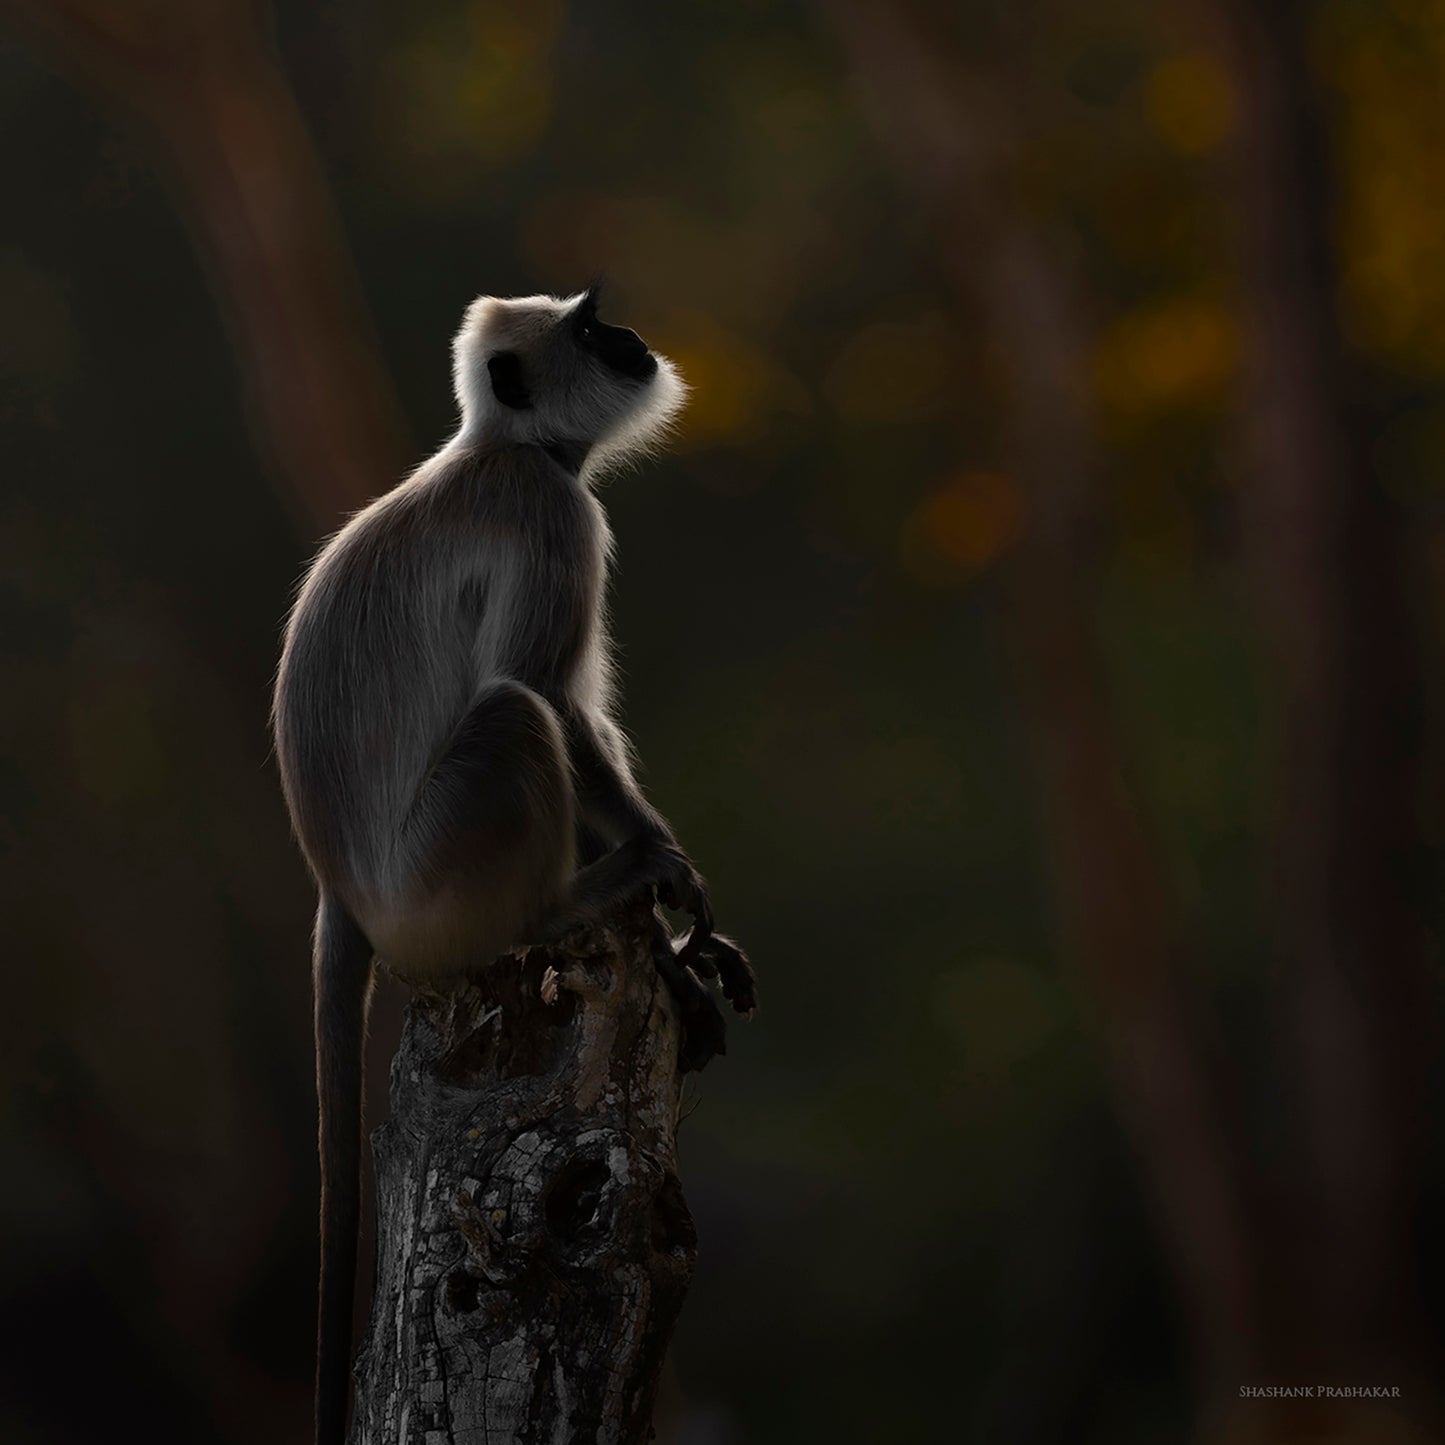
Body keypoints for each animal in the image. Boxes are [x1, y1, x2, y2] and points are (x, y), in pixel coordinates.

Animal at [271, 287, 751, 1445]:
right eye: (587, 328)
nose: (633, 342)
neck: (508, 449)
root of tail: (338, 889)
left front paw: (680, 953)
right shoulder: (552, 514)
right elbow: (549, 692)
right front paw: (663, 883)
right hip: (438, 876)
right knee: (517, 711)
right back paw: (568, 904)